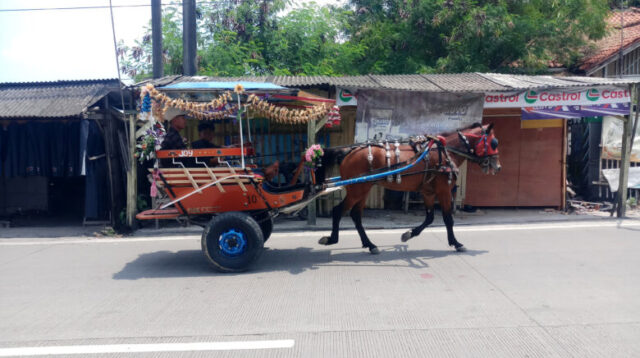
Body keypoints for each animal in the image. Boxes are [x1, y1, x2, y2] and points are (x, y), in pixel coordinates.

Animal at [318, 123, 502, 255]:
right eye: (494, 143)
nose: (498, 166)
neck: (445, 152)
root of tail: (348, 151)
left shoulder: (428, 192)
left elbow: (429, 218)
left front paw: (409, 234)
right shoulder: (443, 191)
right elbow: (448, 219)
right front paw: (456, 243)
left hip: (363, 189)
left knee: (356, 216)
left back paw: (370, 245)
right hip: (357, 190)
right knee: (338, 211)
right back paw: (332, 239)